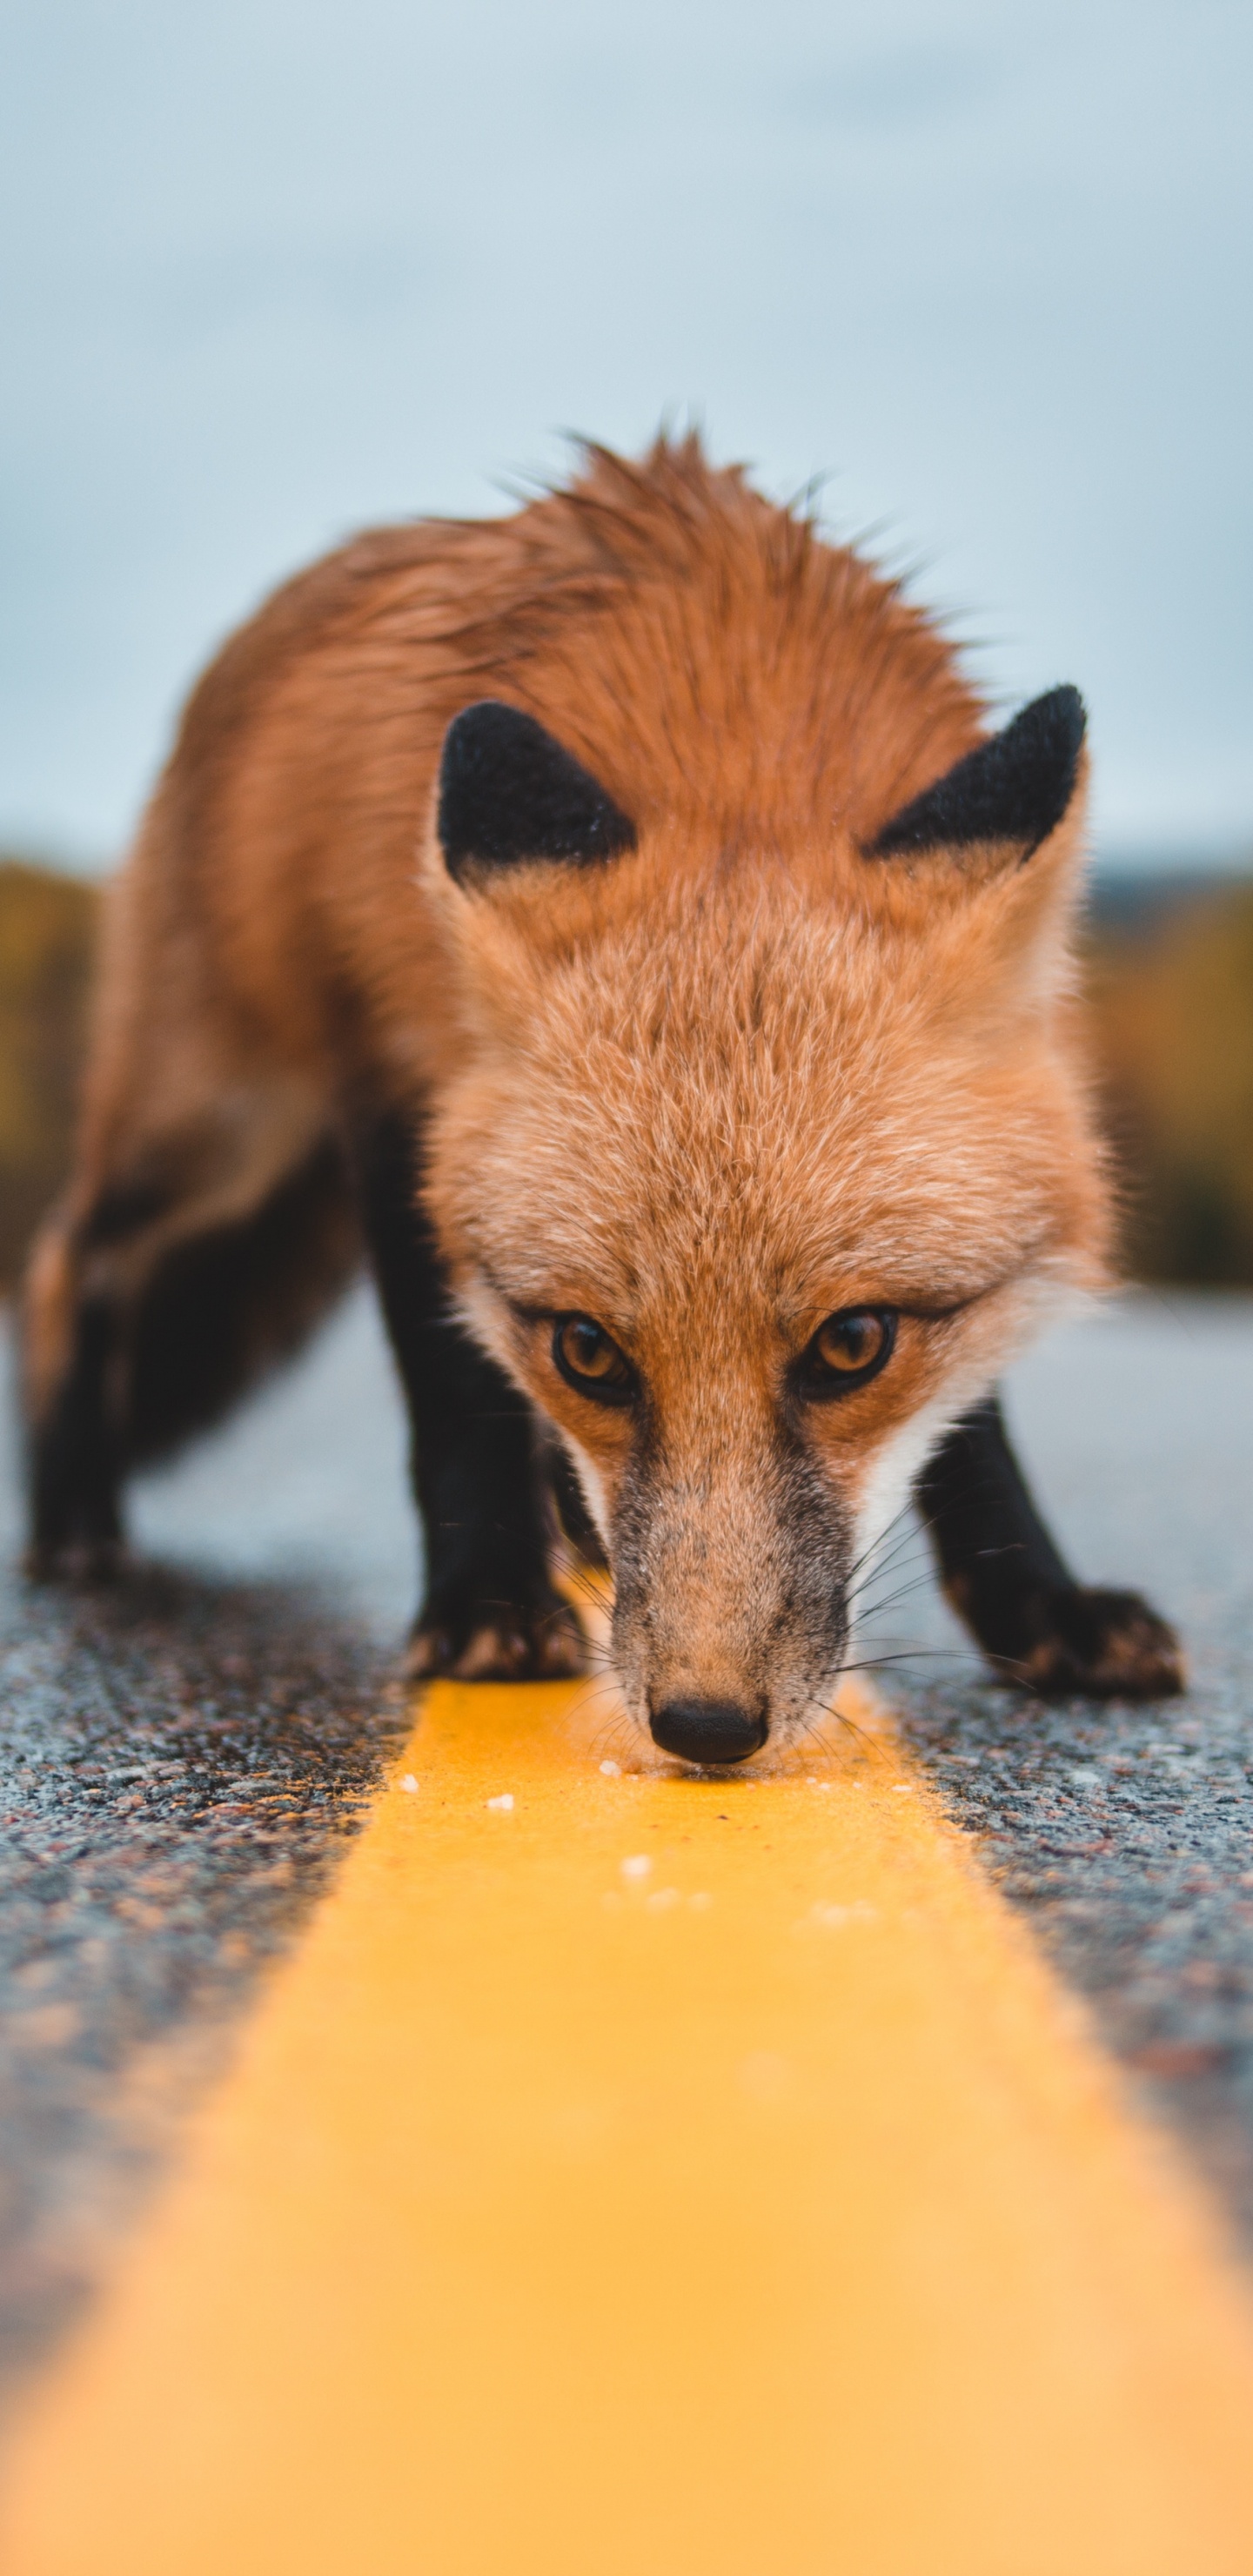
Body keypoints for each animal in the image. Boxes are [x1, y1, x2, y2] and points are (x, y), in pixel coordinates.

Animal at [26, 443, 1185, 1772]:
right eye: (589, 1350)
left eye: (853, 1345)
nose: (706, 1724)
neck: (735, 735)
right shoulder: (397, 1089)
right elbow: (453, 1383)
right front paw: (483, 1598)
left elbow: (975, 1427)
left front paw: (1039, 1604)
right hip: (221, 1121)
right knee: (70, 1254)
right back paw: (71, 1512)